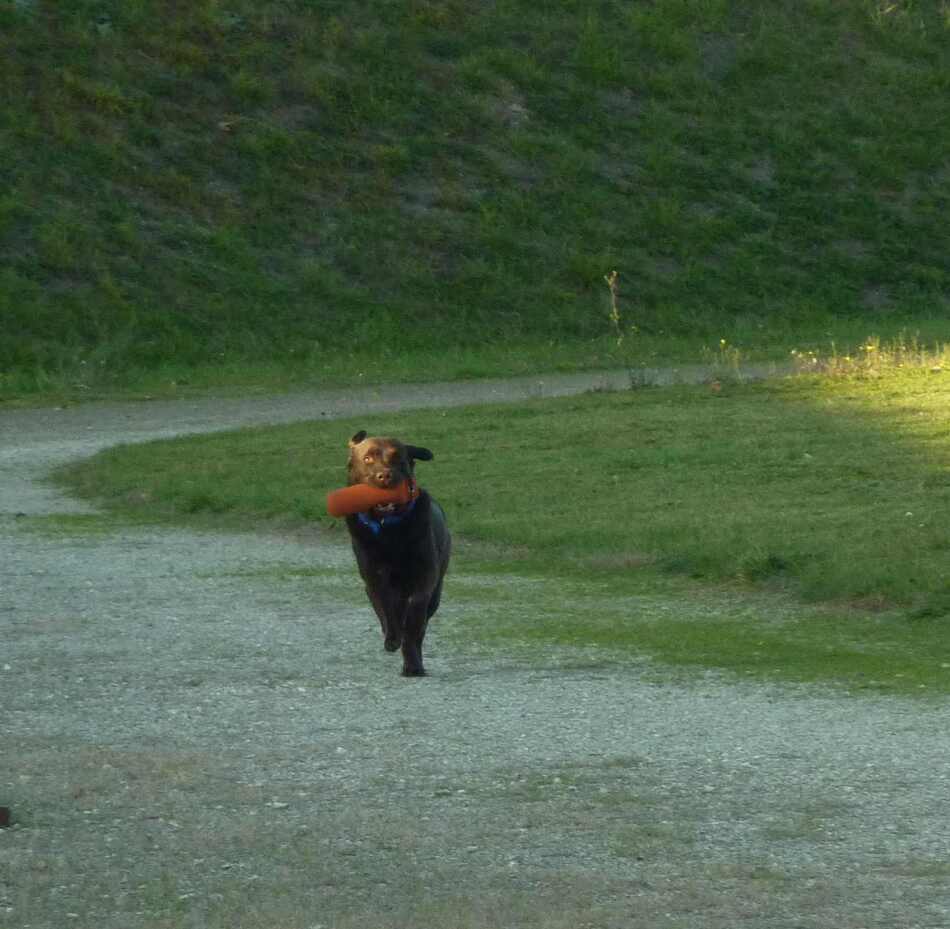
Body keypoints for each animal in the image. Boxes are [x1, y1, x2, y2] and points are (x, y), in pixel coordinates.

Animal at [344, 428, 452, 676]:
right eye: (367, 458)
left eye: (398, 458)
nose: (384, 476)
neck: (389, 529)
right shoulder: (374, 578)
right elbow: (386, 609)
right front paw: (392, 638)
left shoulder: (424, 579)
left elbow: (414, 621)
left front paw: (411, 660)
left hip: (436, 591)